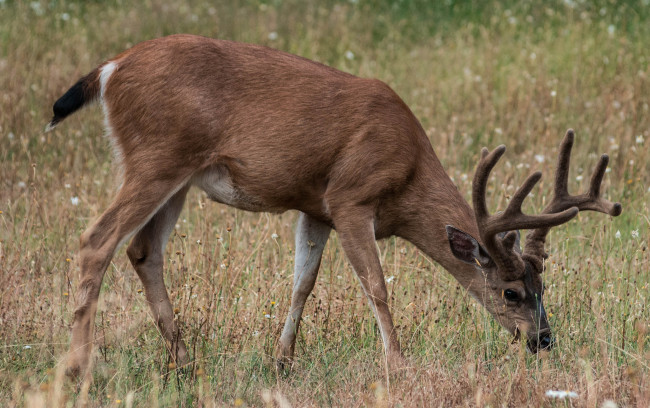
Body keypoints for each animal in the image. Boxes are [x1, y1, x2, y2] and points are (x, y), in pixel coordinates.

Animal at [48, 33, 620, 378]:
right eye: (511, 292)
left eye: (543, 287)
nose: (544, 339)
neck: (408, 171)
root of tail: (110, 69)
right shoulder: (350, 197)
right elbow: (377, 286)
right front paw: (397, 364)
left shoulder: (315, 207)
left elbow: (302, 283)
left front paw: (281, 361)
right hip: (157, 157)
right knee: (96, 239)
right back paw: (77, 366)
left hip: (179, 176)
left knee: (143, 251)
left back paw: (185, 361)